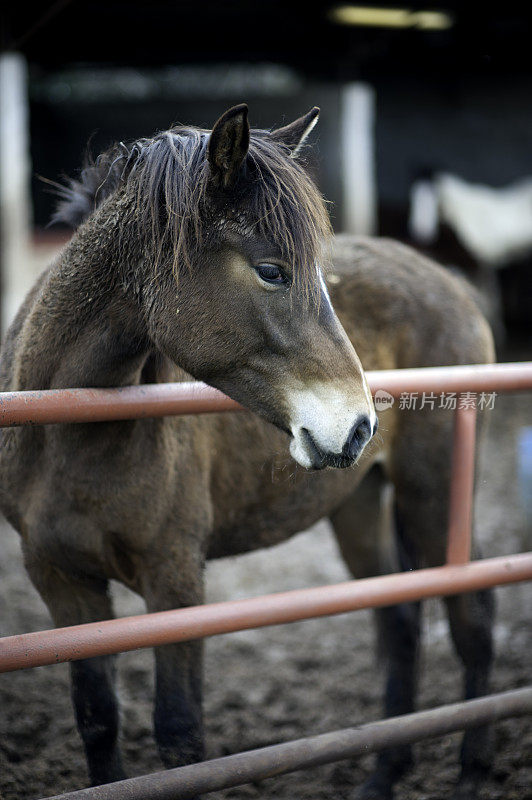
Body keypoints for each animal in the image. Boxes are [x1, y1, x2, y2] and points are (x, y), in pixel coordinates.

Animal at [0, 108, 494, 800]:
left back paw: (474, 768)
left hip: (437, 493)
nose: (358, 426)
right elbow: (98, 720)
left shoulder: (175, 581)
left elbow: (180, 737)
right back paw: (382, 774)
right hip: (358, 505)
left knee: (471, 613)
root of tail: (449, 282)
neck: (71, 433)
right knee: (399, 619)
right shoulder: (61, 581)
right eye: (272, 270)